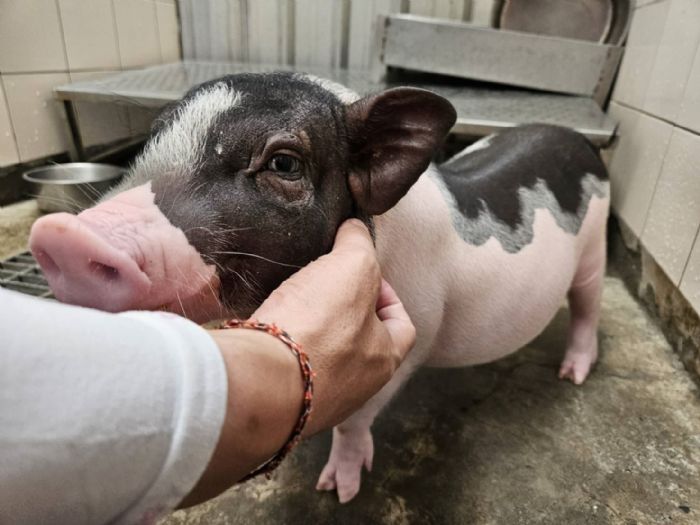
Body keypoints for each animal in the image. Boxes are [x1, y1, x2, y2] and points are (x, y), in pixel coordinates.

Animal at [28, 71, 608, 502]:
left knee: (587, 307)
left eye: (284, 162)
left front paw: (337, 491)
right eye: (152, 143)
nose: (64, 236)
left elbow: (354, 424)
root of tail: (577, 139)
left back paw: (573, 374)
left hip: (595, 248)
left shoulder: (414, 336)